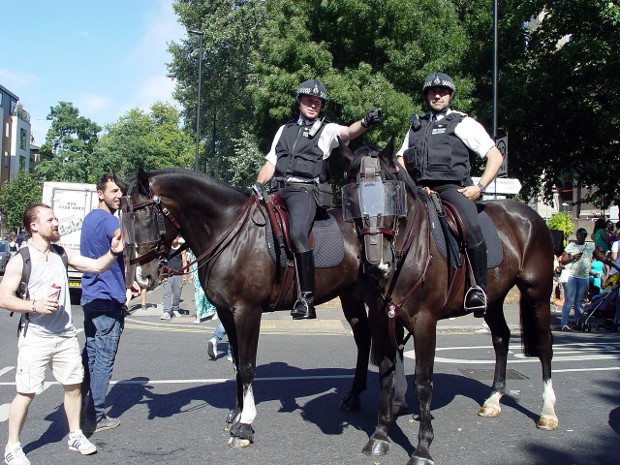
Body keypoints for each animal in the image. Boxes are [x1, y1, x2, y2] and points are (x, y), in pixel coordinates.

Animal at [117, 168, 376, 448]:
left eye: (145, 217)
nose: (142, 277)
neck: (231, 236)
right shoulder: (225, 312)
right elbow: (237, 363)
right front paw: (237, 412)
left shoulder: (247, 311)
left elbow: (248, 365)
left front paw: (246, 423)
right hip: (350, 294)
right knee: (363, 338)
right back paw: (353, 396)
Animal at [340, 139, 559, 465]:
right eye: (351, 194)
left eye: (392, 193)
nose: (377, 264)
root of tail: (530, 215)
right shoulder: (380, 316)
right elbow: (387, 374)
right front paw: (380, 435)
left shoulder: (424, 321)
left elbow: (423, 383)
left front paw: (422, 448)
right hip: (493, 300)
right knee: (501, 338)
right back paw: (494, 400)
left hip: (537, 293)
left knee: (545, 345)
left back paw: (547, 412)